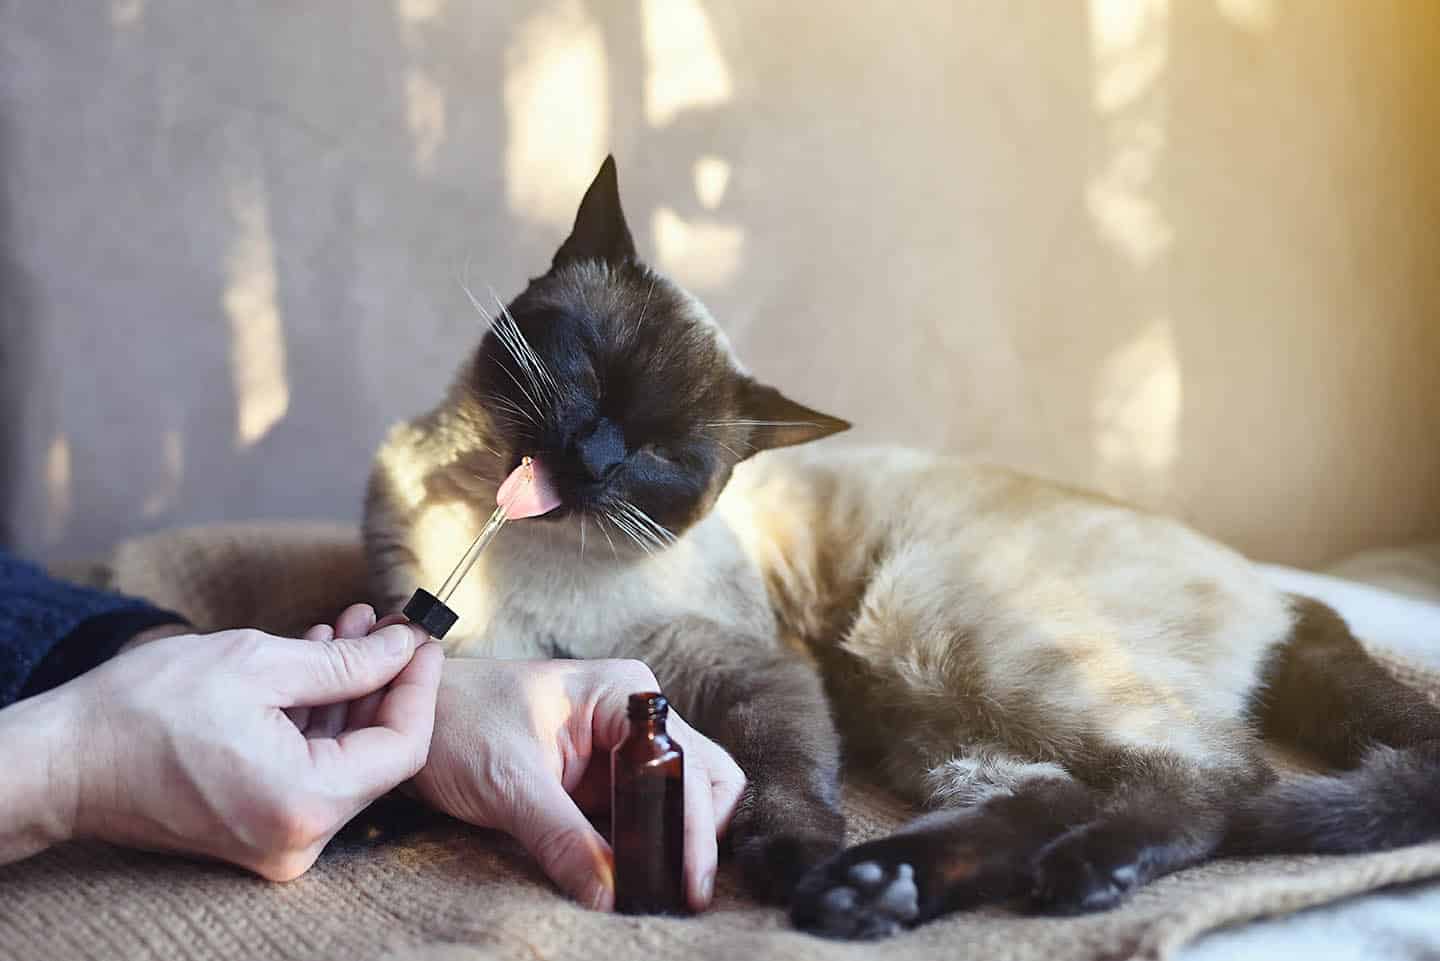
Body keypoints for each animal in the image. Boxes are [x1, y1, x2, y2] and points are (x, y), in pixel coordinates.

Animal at [362, 157, 1440, 939]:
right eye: (588, 370)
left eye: (666, 453)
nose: (592, 457)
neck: (527, 567)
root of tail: (1279, 589)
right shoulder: (447, 643)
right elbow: (414, 736)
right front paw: (377, 808)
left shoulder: (758, 676)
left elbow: (784, 787)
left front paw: (783, 863)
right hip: (922, 711)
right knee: (1062, 790)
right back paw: (881, 889)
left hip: (928, 629)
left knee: (1221, 777)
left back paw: (1047, 877)